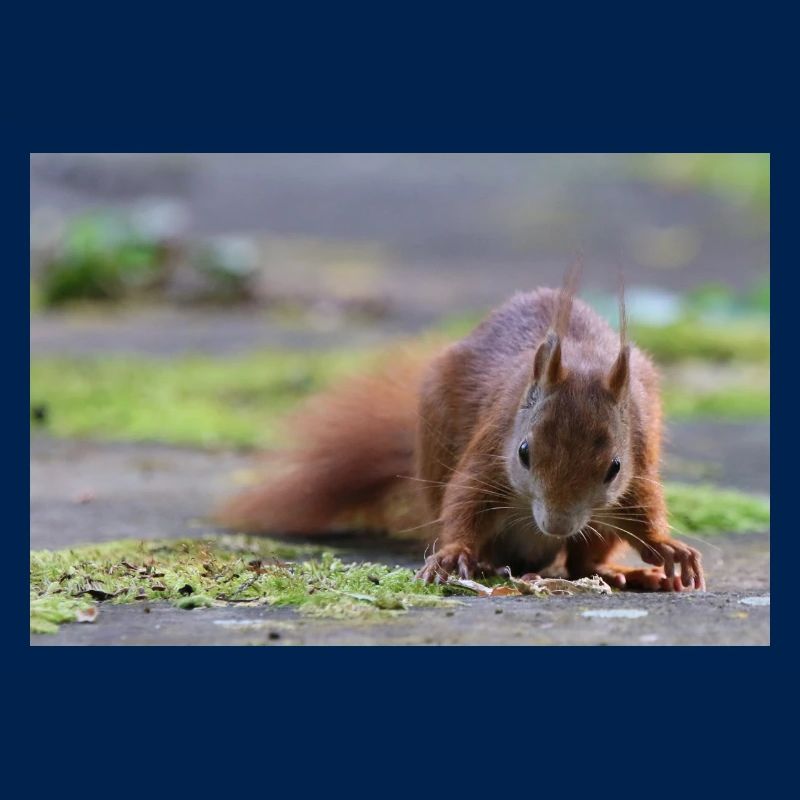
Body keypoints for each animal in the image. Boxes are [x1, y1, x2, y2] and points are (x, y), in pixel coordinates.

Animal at [219, 274, 705, 592]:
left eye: (614, 468)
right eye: (524, 452)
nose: (558, 524)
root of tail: (536, 550)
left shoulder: (638, 459)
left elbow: (644, 508)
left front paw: (667, 548)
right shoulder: (491, 450)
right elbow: (464, 501)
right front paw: (453, 554)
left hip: (598, 524)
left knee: (584, 560)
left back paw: (621, 574)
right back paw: (491, 563)